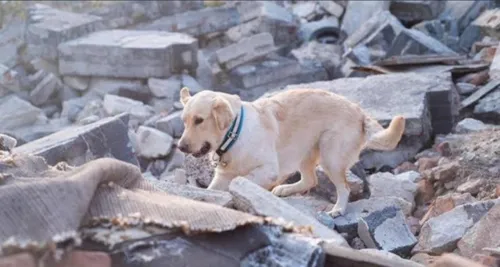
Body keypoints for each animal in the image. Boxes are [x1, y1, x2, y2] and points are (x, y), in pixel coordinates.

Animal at [178, 87, 404, 217]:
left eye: (199, 120)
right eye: (184, 121)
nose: (180, 147)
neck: (235, 133)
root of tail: (359, 112)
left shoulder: (268, 170)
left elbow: (241, 180)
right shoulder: (222, 176)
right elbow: (213, 190)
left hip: (330, 156)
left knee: (344, 188)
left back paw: (338, 209)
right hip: (305, 152)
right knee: (310, 180)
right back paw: (285, 190)